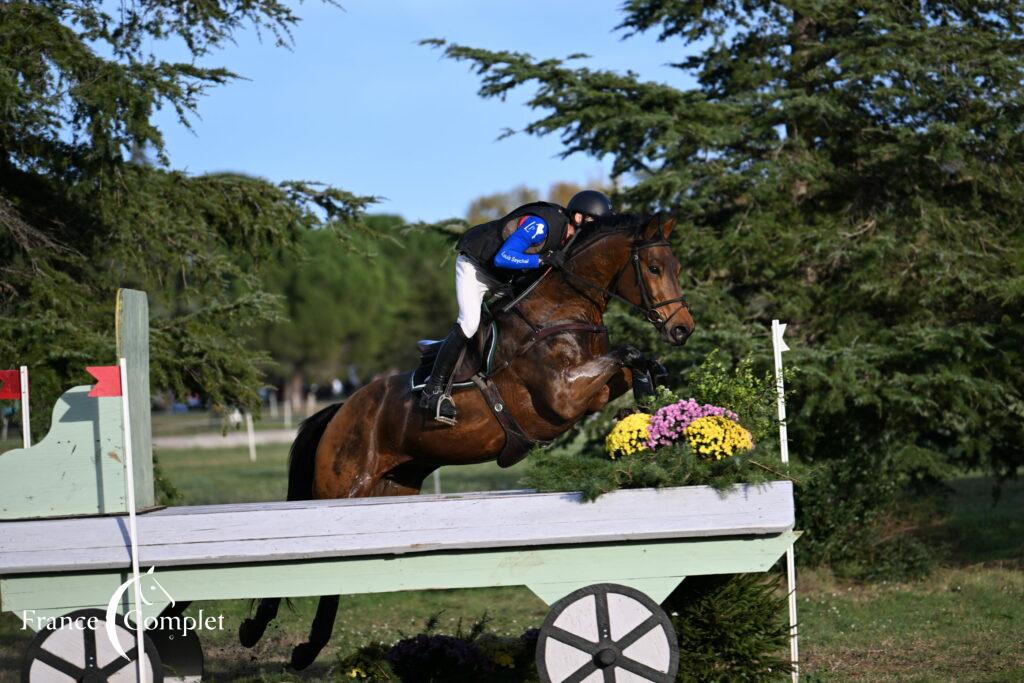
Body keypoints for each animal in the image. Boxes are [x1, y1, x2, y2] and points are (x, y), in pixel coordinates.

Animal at [239, 211, 696, 667]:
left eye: (677, 267)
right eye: (654, 268)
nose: (682, 330)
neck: (559, 312)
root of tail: (342, 408)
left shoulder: (591, 390)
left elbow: (637, 364)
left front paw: (646, 408)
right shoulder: (562, 395)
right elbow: (628, 353)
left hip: (392, 488)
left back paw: (302, 645)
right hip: (340, 490)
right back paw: (264, 632)